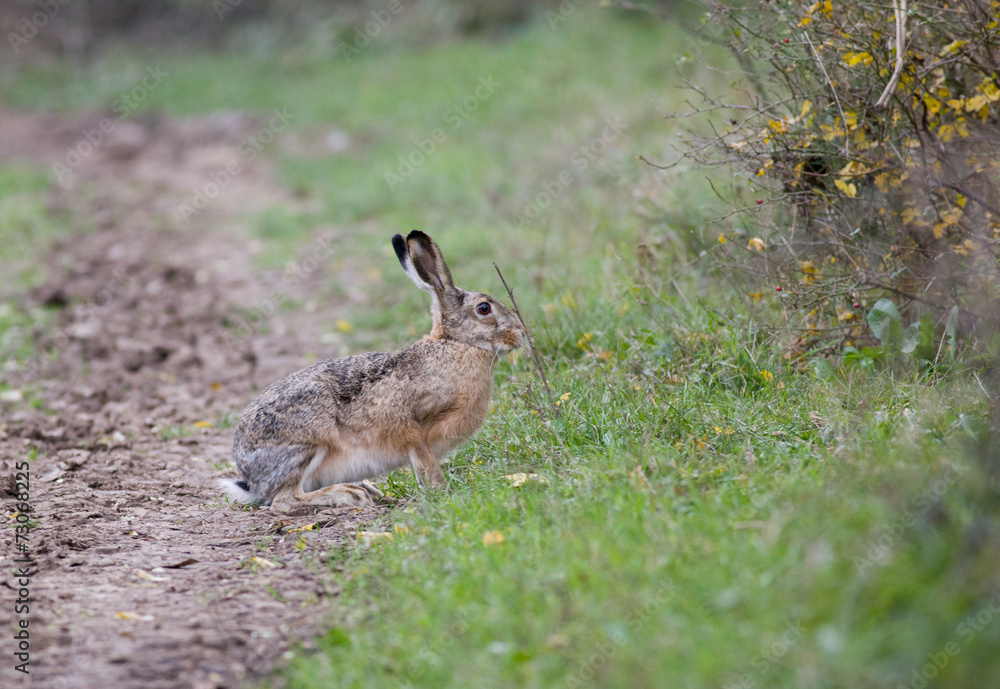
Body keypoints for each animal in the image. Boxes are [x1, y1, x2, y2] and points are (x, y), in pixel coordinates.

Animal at [216, 230, 526, 510]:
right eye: (484, 309)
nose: (521, 334)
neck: (455, 343)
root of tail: (249, 476)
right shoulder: (416, 428)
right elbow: (425, 466)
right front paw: (442, 493)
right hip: (305, 442)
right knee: (284, 501)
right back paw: (349, 494)